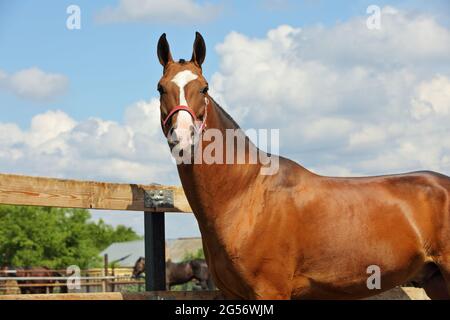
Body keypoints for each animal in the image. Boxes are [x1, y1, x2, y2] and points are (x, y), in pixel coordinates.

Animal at [154, 31, 450, 298]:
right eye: (161, 88)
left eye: (204, 87)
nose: (182, 139)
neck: (246, 196)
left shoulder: (270, 291)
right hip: (435, 282)